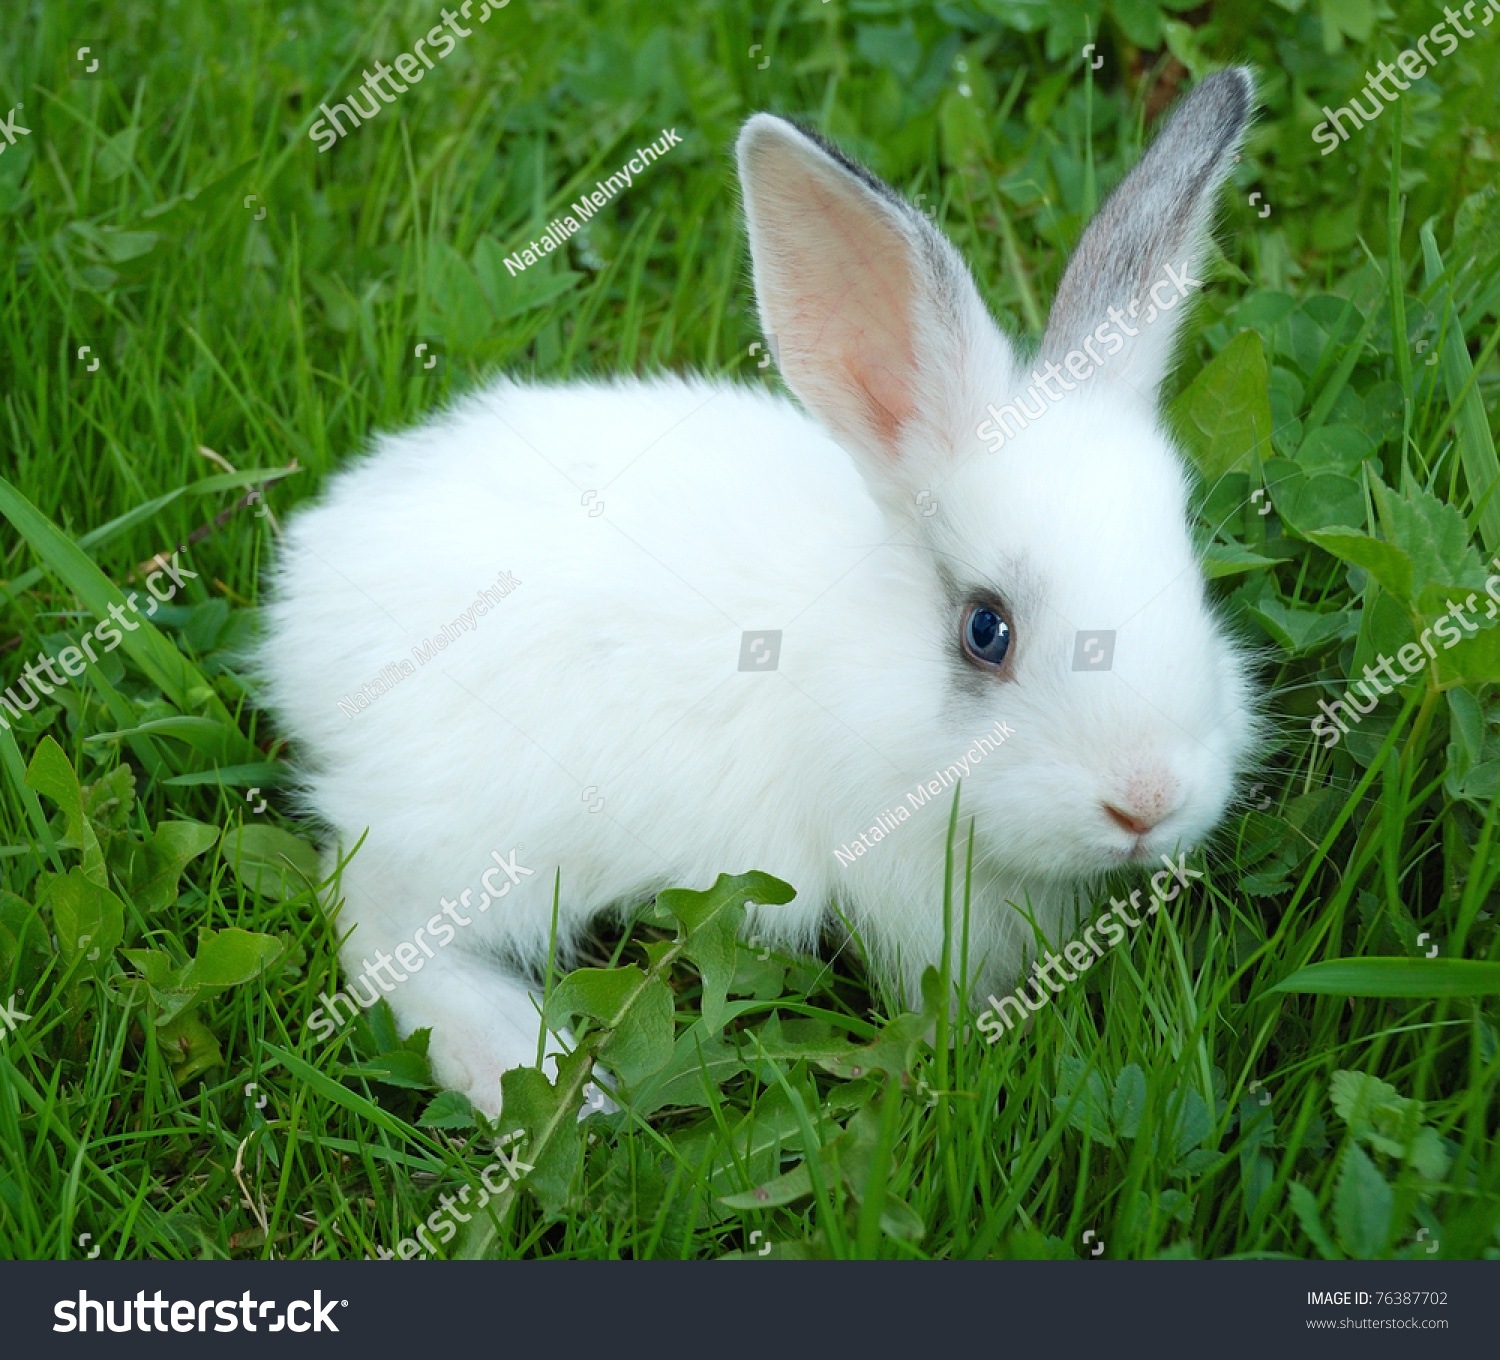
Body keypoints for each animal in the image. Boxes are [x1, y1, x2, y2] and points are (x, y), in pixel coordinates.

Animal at [264, 66, 1260, 1115]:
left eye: (1192, 583)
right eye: (986, 630)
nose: (1147, 801)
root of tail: (308, 595)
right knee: (376, 924)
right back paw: (523, 1069)